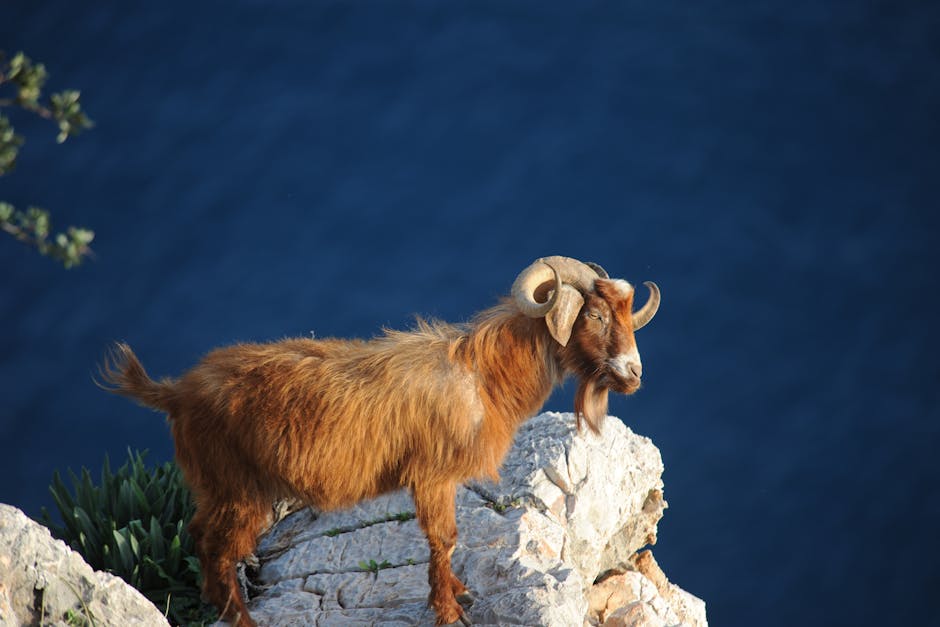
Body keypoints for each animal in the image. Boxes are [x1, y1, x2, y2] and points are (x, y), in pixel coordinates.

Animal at [99, 256, 660, 626]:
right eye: (595, 315)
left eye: (626, 314)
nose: (634, 373)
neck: (483, 376)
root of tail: (176, 392)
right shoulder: (432, 477)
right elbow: (443, 539)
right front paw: (448, 609)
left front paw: (458, 593)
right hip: (240, 489)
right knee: (219, 549)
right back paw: (243, 620)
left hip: (214, 487)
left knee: (199, 536)